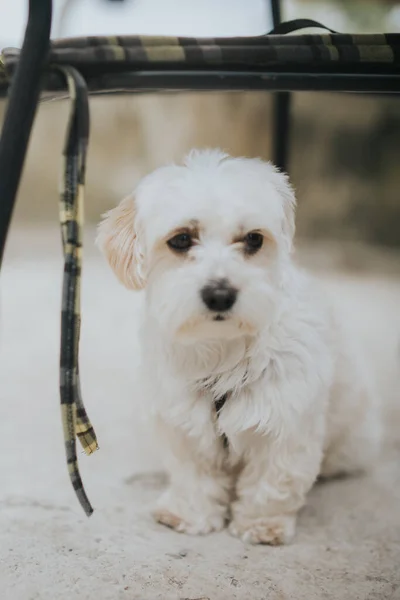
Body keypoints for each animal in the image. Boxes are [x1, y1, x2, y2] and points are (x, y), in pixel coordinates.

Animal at [97, 149, 382, 544]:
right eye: (181, 239)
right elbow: (194, 475)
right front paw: (190, 513)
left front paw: (261, 524)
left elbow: (273, 481)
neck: (223, 348)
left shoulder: (285, 421)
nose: (220, 294)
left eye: (253, 239)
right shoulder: (186, 422)